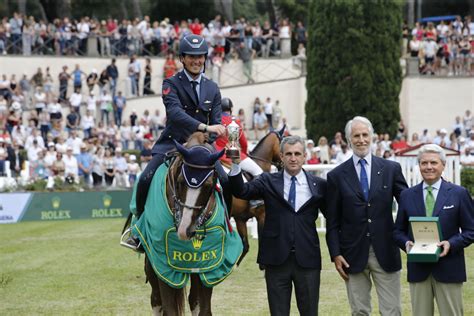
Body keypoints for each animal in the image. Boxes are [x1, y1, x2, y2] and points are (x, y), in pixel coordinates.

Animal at [129, 132, 241, 314]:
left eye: (208, 186)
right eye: (181, 181)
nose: (185, 230)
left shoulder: (208, 266)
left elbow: (204, 309)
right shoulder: (162, 263)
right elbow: (169, 309)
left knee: (193, 300)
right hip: (150, 262)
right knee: (156, 300)